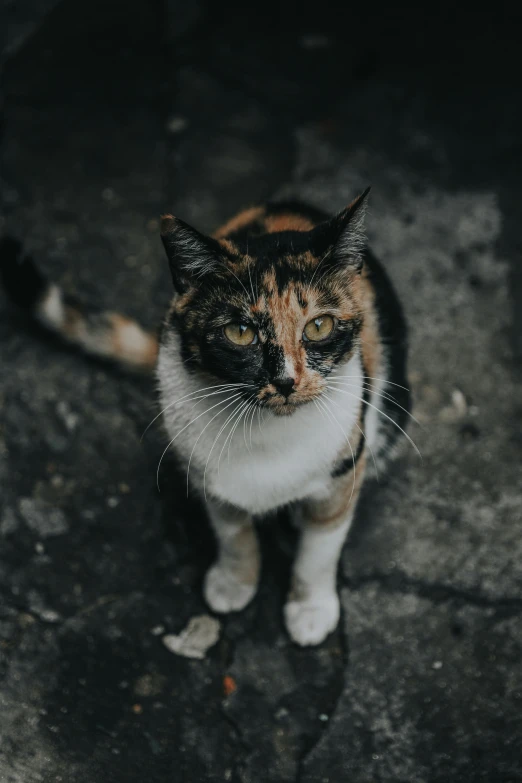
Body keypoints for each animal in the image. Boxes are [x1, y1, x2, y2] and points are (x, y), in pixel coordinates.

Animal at [1, 190, 410, 644]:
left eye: (319, 326)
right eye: (240, 332)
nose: (286, 381)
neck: (268, 433)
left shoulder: (343, 467)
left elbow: (319, 548)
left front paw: (310, 610)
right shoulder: (205, 473)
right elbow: (233, 535)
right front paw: (234, 584)